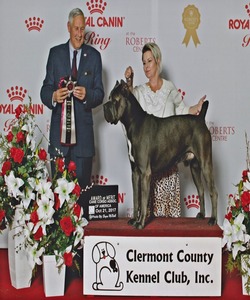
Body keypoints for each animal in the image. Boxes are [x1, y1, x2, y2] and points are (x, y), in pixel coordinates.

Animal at [102, 79, 218, 230]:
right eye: (109, 98)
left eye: (115, 100)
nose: (104, 106)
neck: (133, 123)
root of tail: (200, 119)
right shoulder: (135, 172)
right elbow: (136, 198)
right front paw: (134, 219)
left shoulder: (145, 172)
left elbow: (143, 200)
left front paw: (140, 223)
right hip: (195, 168)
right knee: (201, 190)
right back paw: (202, 215)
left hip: (205, 164)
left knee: (213, 192)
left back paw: (213, 219)